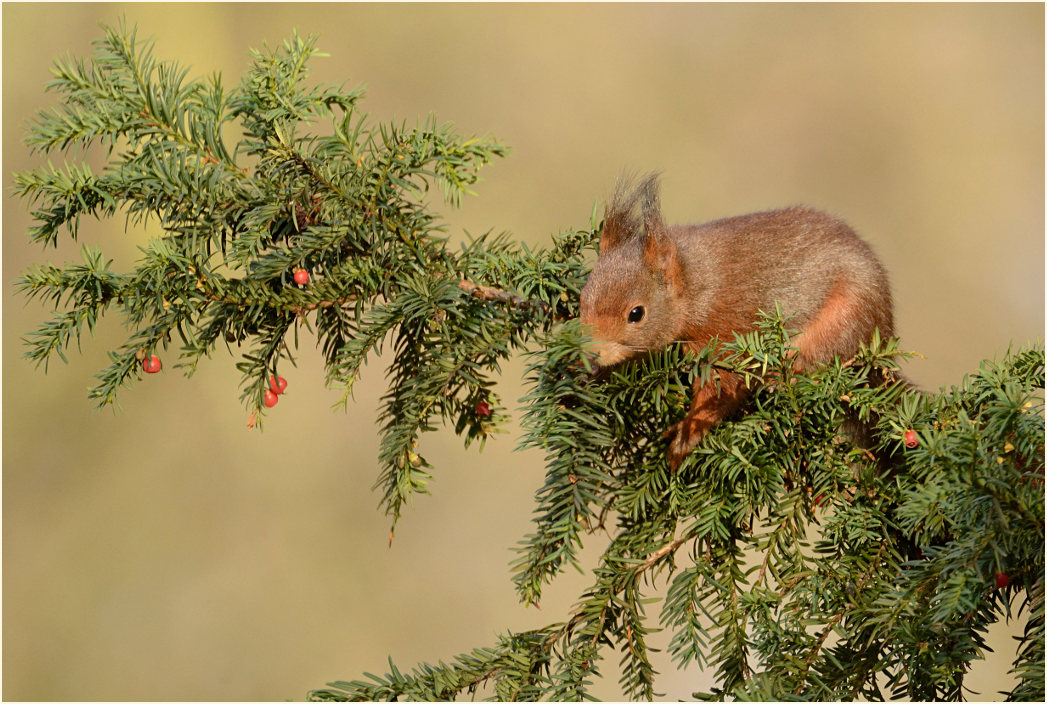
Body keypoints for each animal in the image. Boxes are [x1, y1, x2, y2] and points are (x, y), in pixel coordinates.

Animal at [579, 174, 895, 469]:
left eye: (636, 314)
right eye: (583, 298)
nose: (591, 354)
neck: (693, 284)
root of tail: (885, 329)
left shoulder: (725, 332)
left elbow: (723, 388)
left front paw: (688, 432)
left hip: (843, 321)